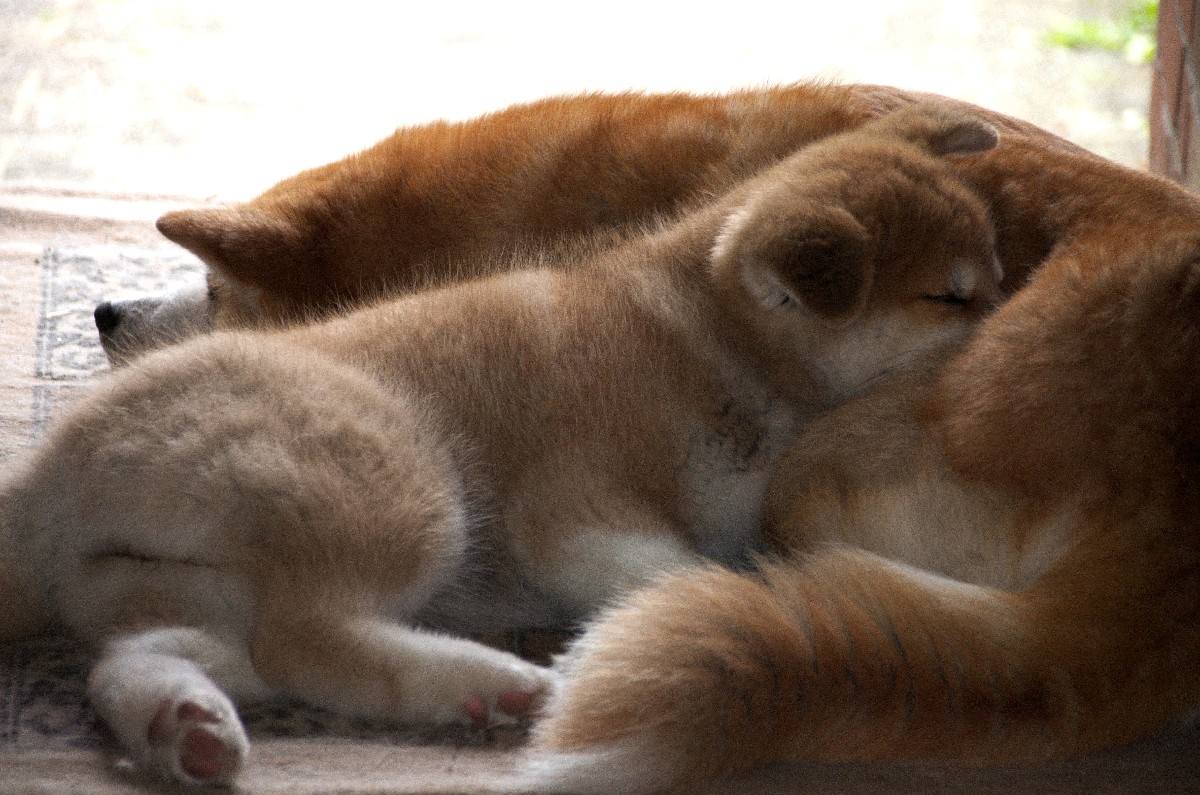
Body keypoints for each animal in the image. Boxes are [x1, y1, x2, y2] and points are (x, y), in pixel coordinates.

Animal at [0, 107, 1001, 786]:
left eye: (994, 269)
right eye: (952, 295)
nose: (1016, 321)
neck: (708, 335)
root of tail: (47, 476)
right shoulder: (575, 512)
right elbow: (692, 569)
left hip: (171, 587)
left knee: (142, 659)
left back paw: (189, 722)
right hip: (402, 485)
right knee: (308, 640)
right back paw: (502, 678)